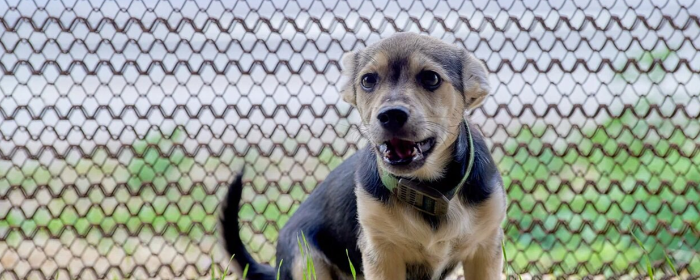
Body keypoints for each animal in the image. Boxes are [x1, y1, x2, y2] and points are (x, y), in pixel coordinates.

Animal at [221, 33, 506, 280]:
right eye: (368, 80)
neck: (427, 189)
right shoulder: (381, 252)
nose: (390, 115)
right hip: (306, 260)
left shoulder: (485, 249)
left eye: (431, 78)